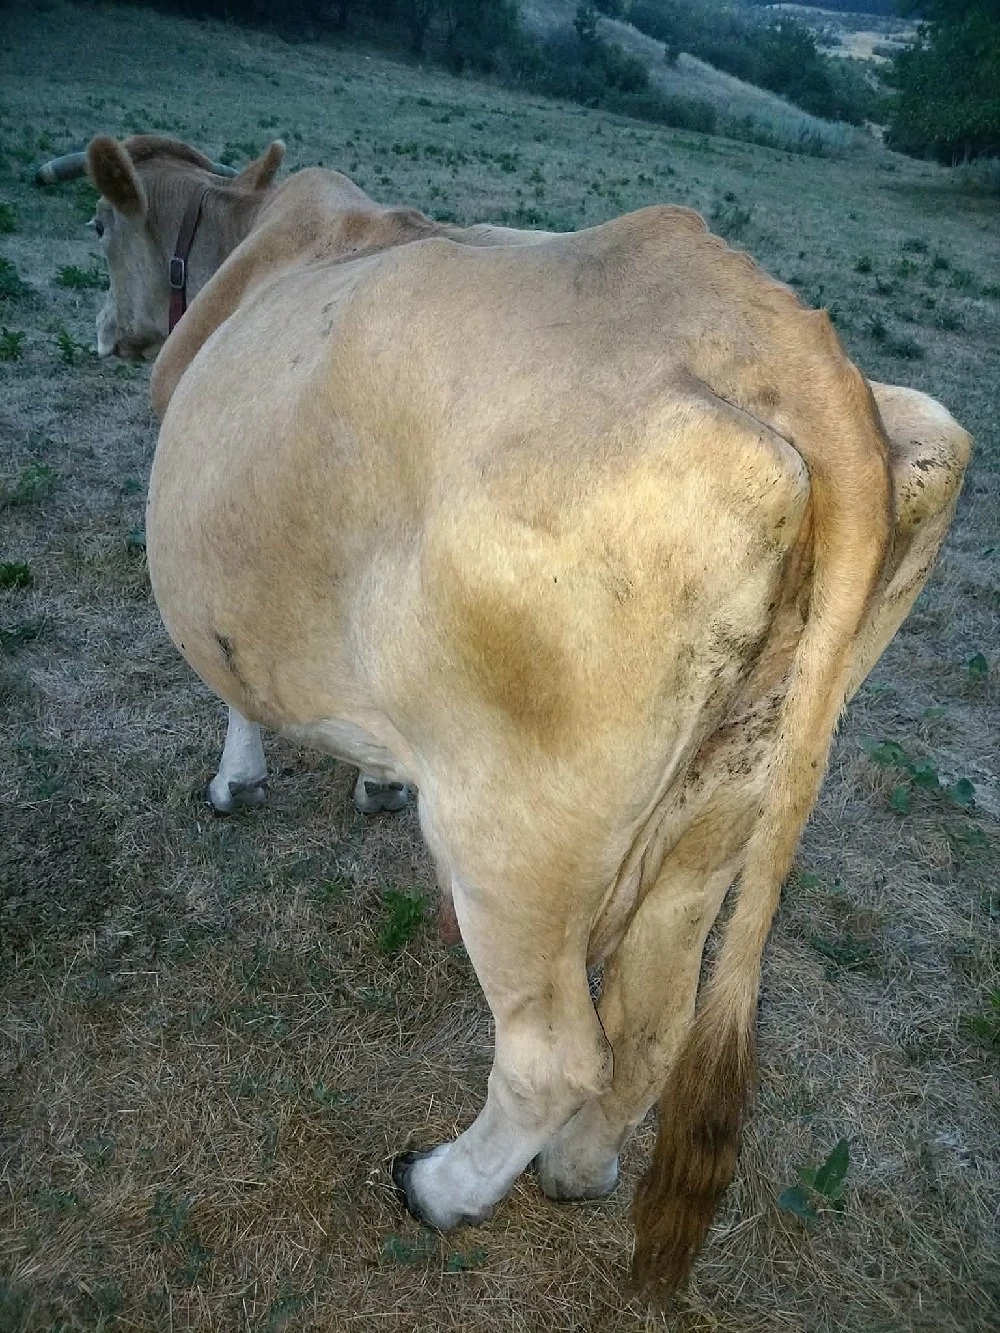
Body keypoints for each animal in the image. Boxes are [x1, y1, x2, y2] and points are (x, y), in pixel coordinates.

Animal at [42, 137, 970, 1290]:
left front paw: (236, 778)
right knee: (652, 1020)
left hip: (515, 837)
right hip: (724, 803)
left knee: (556, 1052)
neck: (251, 233)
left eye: (95, 227)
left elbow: (232, 680)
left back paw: (441, 1186)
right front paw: (374, 778)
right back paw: (576, 1170)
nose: (98, 330)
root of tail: (789, 341)